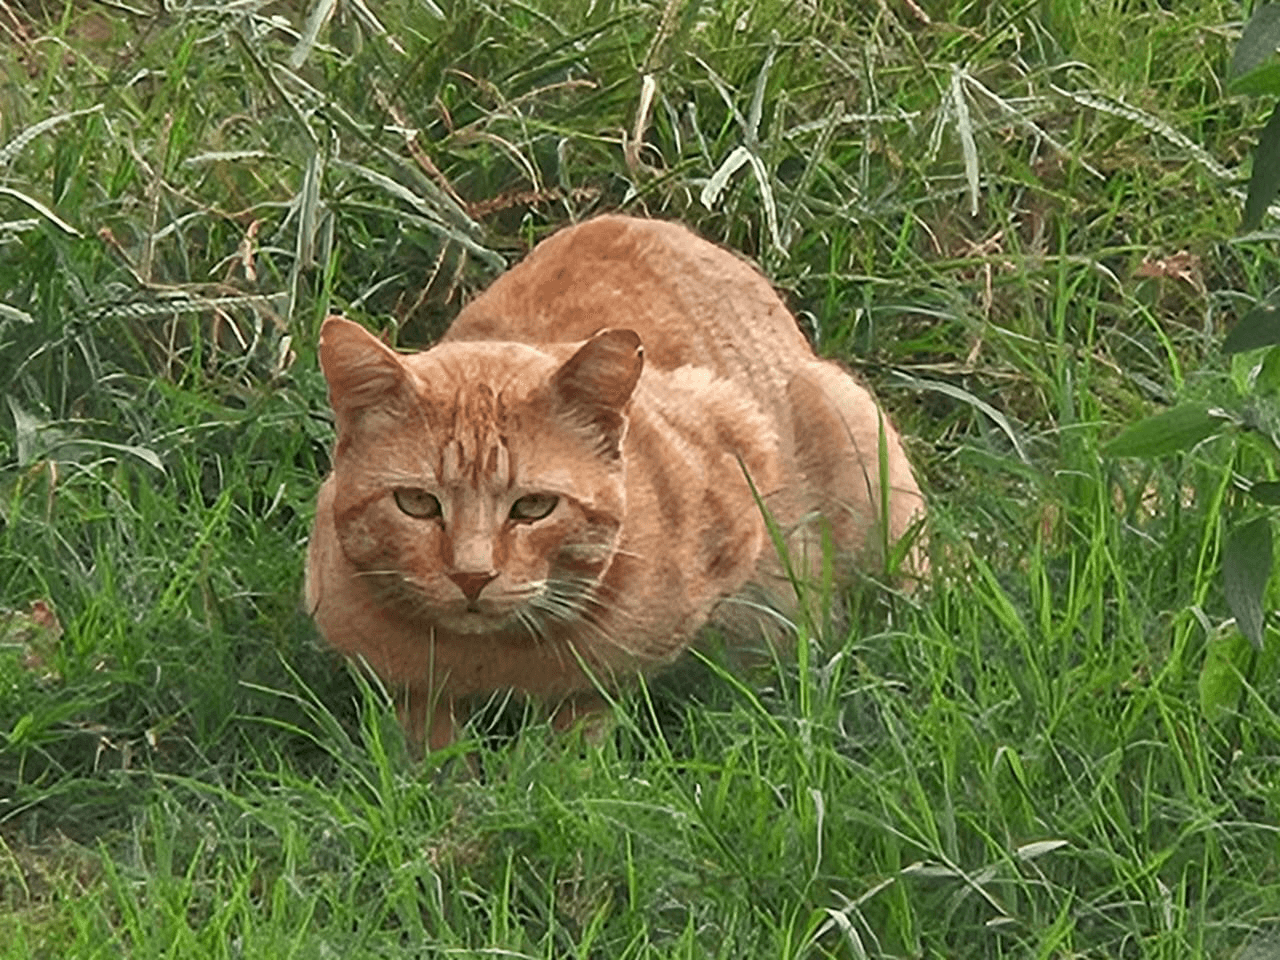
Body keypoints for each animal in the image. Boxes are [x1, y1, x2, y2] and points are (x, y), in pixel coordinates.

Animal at [304, 216, 926, 752]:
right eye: (416, 503)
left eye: (534, 507)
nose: (471, 576)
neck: (492, 660)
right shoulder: (397, 679)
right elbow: (430, 742)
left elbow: (588, 715)